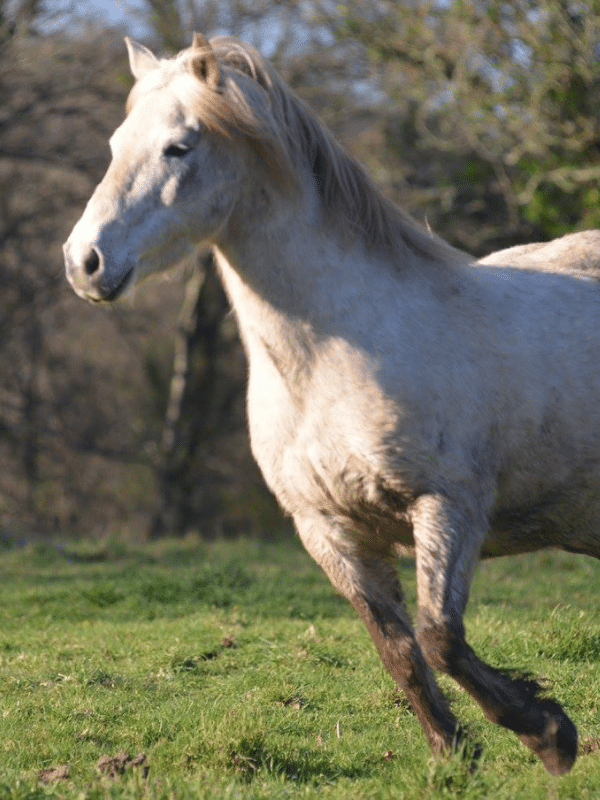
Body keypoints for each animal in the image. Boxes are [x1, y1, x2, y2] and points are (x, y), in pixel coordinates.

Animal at [62, 32, 600, 776]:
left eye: (179, 146)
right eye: (117, 143)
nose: (83, 262)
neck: (332, 356)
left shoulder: (450, 506)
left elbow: (440, 636)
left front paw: (548, 734)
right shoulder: (327, 527)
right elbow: (398, 649)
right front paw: (452, 755)